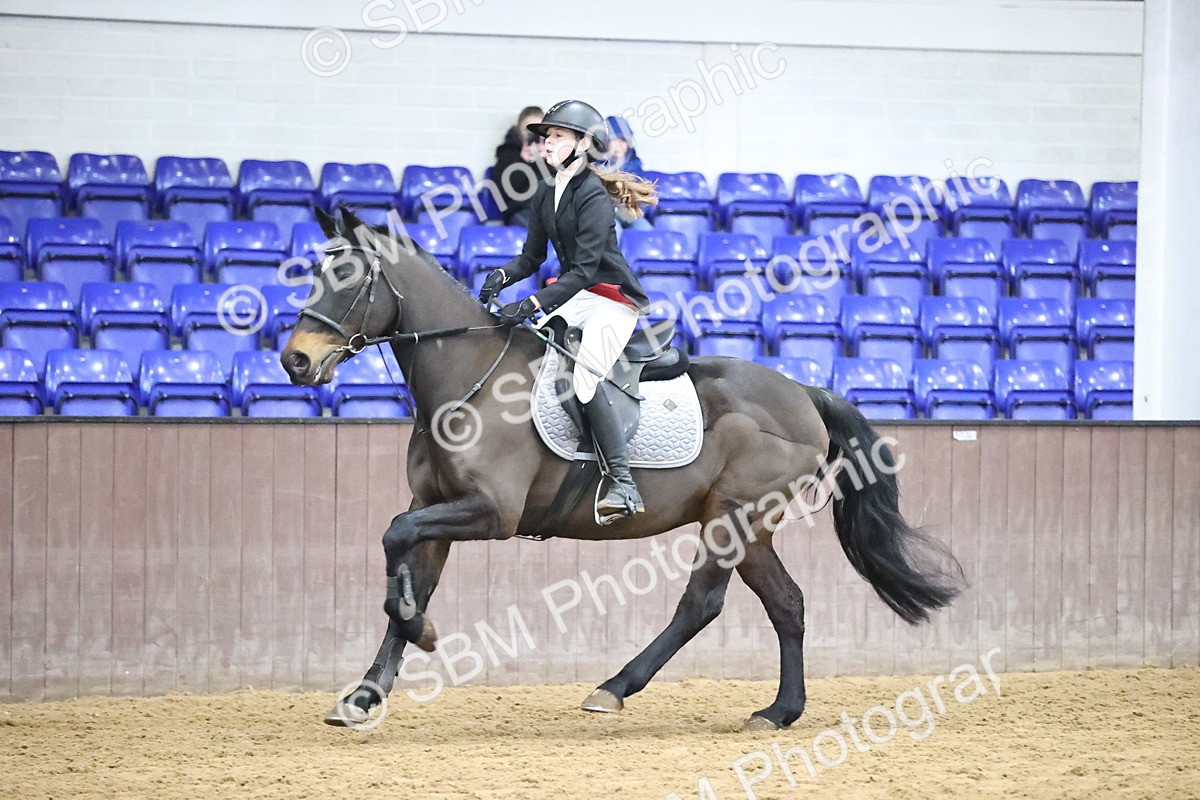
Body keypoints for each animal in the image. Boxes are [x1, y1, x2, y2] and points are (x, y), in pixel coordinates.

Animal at [281, 207, 962, 731]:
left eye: (346, 278)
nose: (294, 361)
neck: (466, 379)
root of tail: (803, 393)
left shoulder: (491, 513)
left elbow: (394, 536)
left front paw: (420, 636)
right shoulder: (434, 506)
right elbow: (408, 568)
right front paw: (366, 692)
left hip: (732, 517)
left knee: (701, 603)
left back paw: (613, 688)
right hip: (751, 526)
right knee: (786, 604)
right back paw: (778, 712)